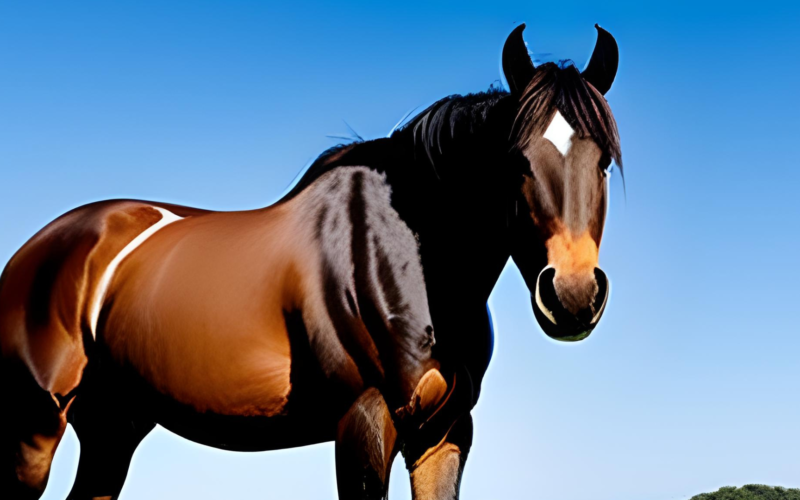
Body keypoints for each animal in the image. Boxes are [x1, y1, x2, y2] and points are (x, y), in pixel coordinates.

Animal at [0, 24, 621, 500]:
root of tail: (35, 251)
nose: (572, 296)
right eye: (516, 161)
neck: (417, 266)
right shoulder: (363, 421)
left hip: (113, 429)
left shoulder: (443, 434)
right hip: (35, 427)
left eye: (603, 161)